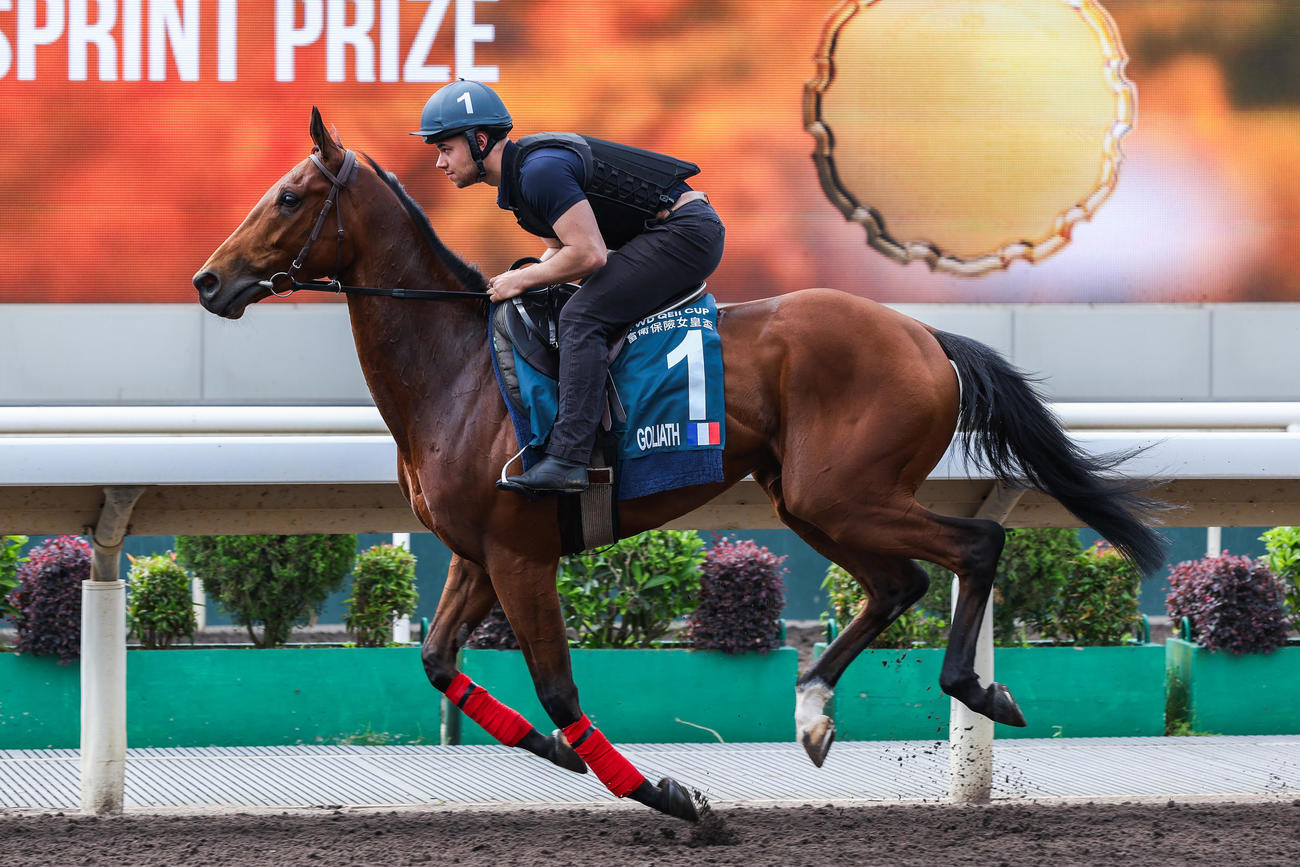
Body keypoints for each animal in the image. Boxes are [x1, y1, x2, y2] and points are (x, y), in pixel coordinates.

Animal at [194, 109, 1165, 822]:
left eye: (289, 197)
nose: (208, 281)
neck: (461, 367)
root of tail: (926, 333)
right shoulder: (477, 551)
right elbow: (438, 663)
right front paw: (561, 755)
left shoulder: (521, 552)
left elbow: (558, 686)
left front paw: (670, 795)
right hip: (809, 497)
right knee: (901, 582)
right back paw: (814, 709)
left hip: (841, 490)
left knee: (974, 544)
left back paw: (971, 687)